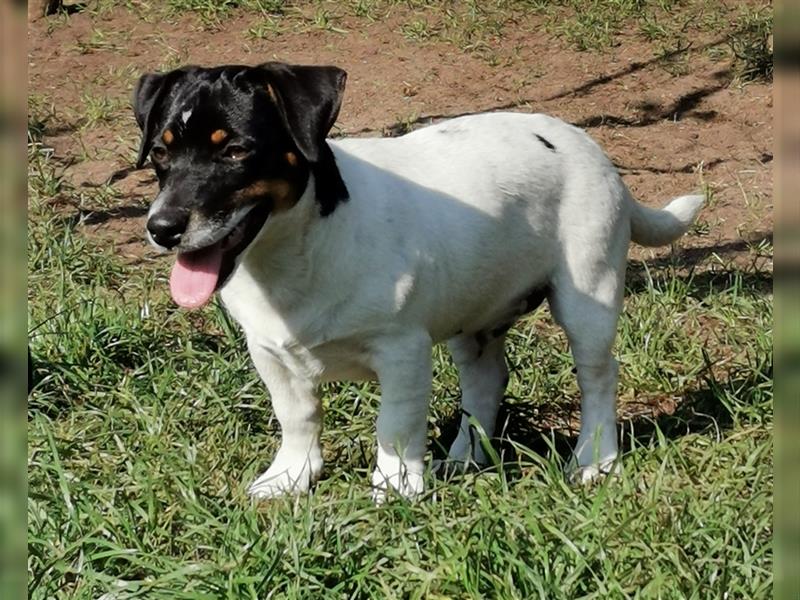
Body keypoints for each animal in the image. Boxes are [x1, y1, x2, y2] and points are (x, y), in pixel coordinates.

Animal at [134, 62, 704, 502]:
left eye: (234, 151)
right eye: (160, 154)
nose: (161, 228)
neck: (295, 252)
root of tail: (593, 149)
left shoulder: (401, 351)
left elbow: (395, 425)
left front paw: (395, 487)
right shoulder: (270, 353)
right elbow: (297, 417)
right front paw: (291, 477)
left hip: (588, 294)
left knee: (598, 377)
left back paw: (594, 459)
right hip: (475, 313)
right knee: (487, 379)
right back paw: (467, 456)